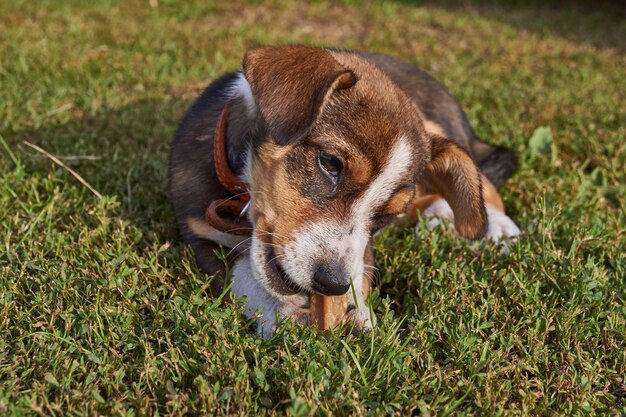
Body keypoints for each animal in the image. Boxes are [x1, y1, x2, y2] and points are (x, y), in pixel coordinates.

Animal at [167, 44, 516, 338]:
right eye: (330, 163)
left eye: (384, 216)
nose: (332, 285)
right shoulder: (198, 235)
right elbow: (239, 273)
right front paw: (279, 310)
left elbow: (361, 268)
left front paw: (355, 310)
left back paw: (495, 225)